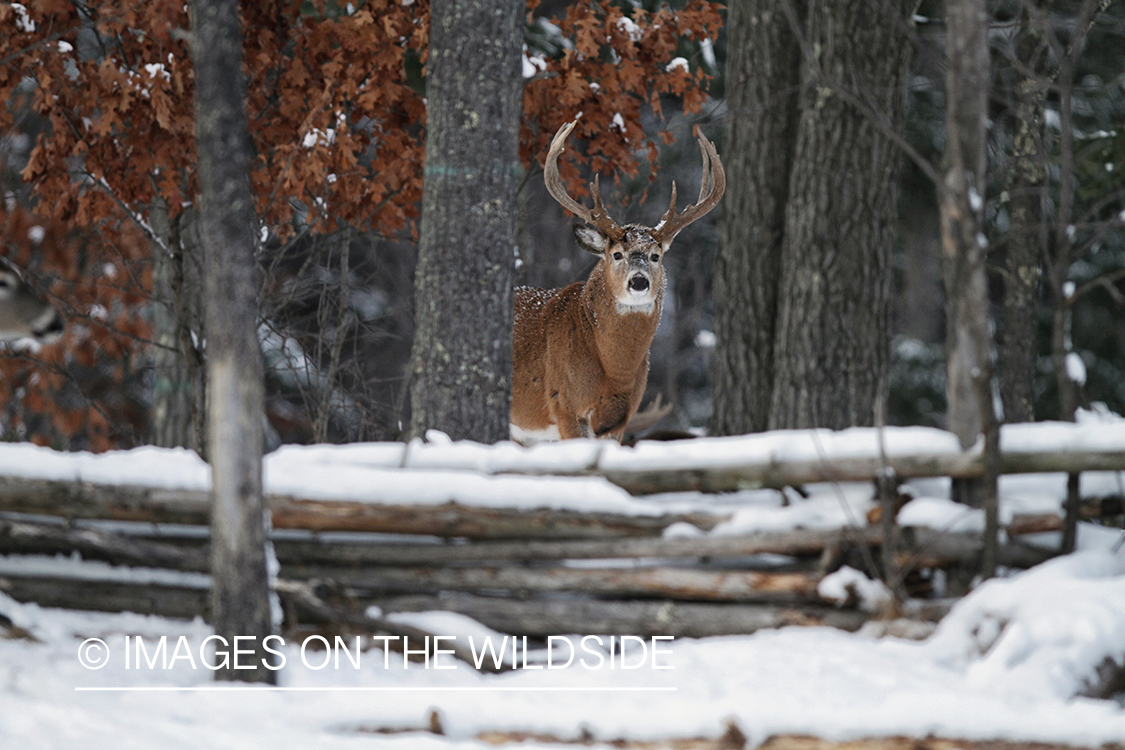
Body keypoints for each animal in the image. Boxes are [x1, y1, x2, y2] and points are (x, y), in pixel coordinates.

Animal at [513, 118, 724, 445]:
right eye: (616, 254)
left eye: (655, 256)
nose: (638, 282)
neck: (615, 371)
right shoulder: (564, 404)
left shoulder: (619, 420)